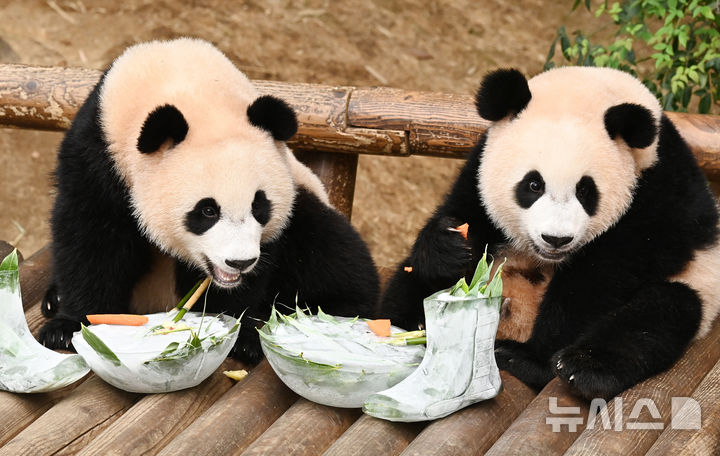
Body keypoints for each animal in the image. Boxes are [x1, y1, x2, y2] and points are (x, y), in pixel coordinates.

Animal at [38, 37, 380, 362]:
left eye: (259, 206)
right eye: (207, 211)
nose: (240, 262)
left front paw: (237, 336)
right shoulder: (98, 155)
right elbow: (91, 239)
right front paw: (68, 327)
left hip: (306, 201)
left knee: (332, 252)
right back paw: (54, 299)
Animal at [382, 66, 720, 398]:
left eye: (585, 190)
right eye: (533, 184)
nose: (556, 239)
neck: (590, 89)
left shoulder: (661, 192)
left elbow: (602, 276)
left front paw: (539, 356)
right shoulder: (479, 164)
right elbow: (465, 213)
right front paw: (450, 247)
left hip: (695, 285)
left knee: (656, 316)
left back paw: (565, 365)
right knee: (407, 287)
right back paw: (412, 325)